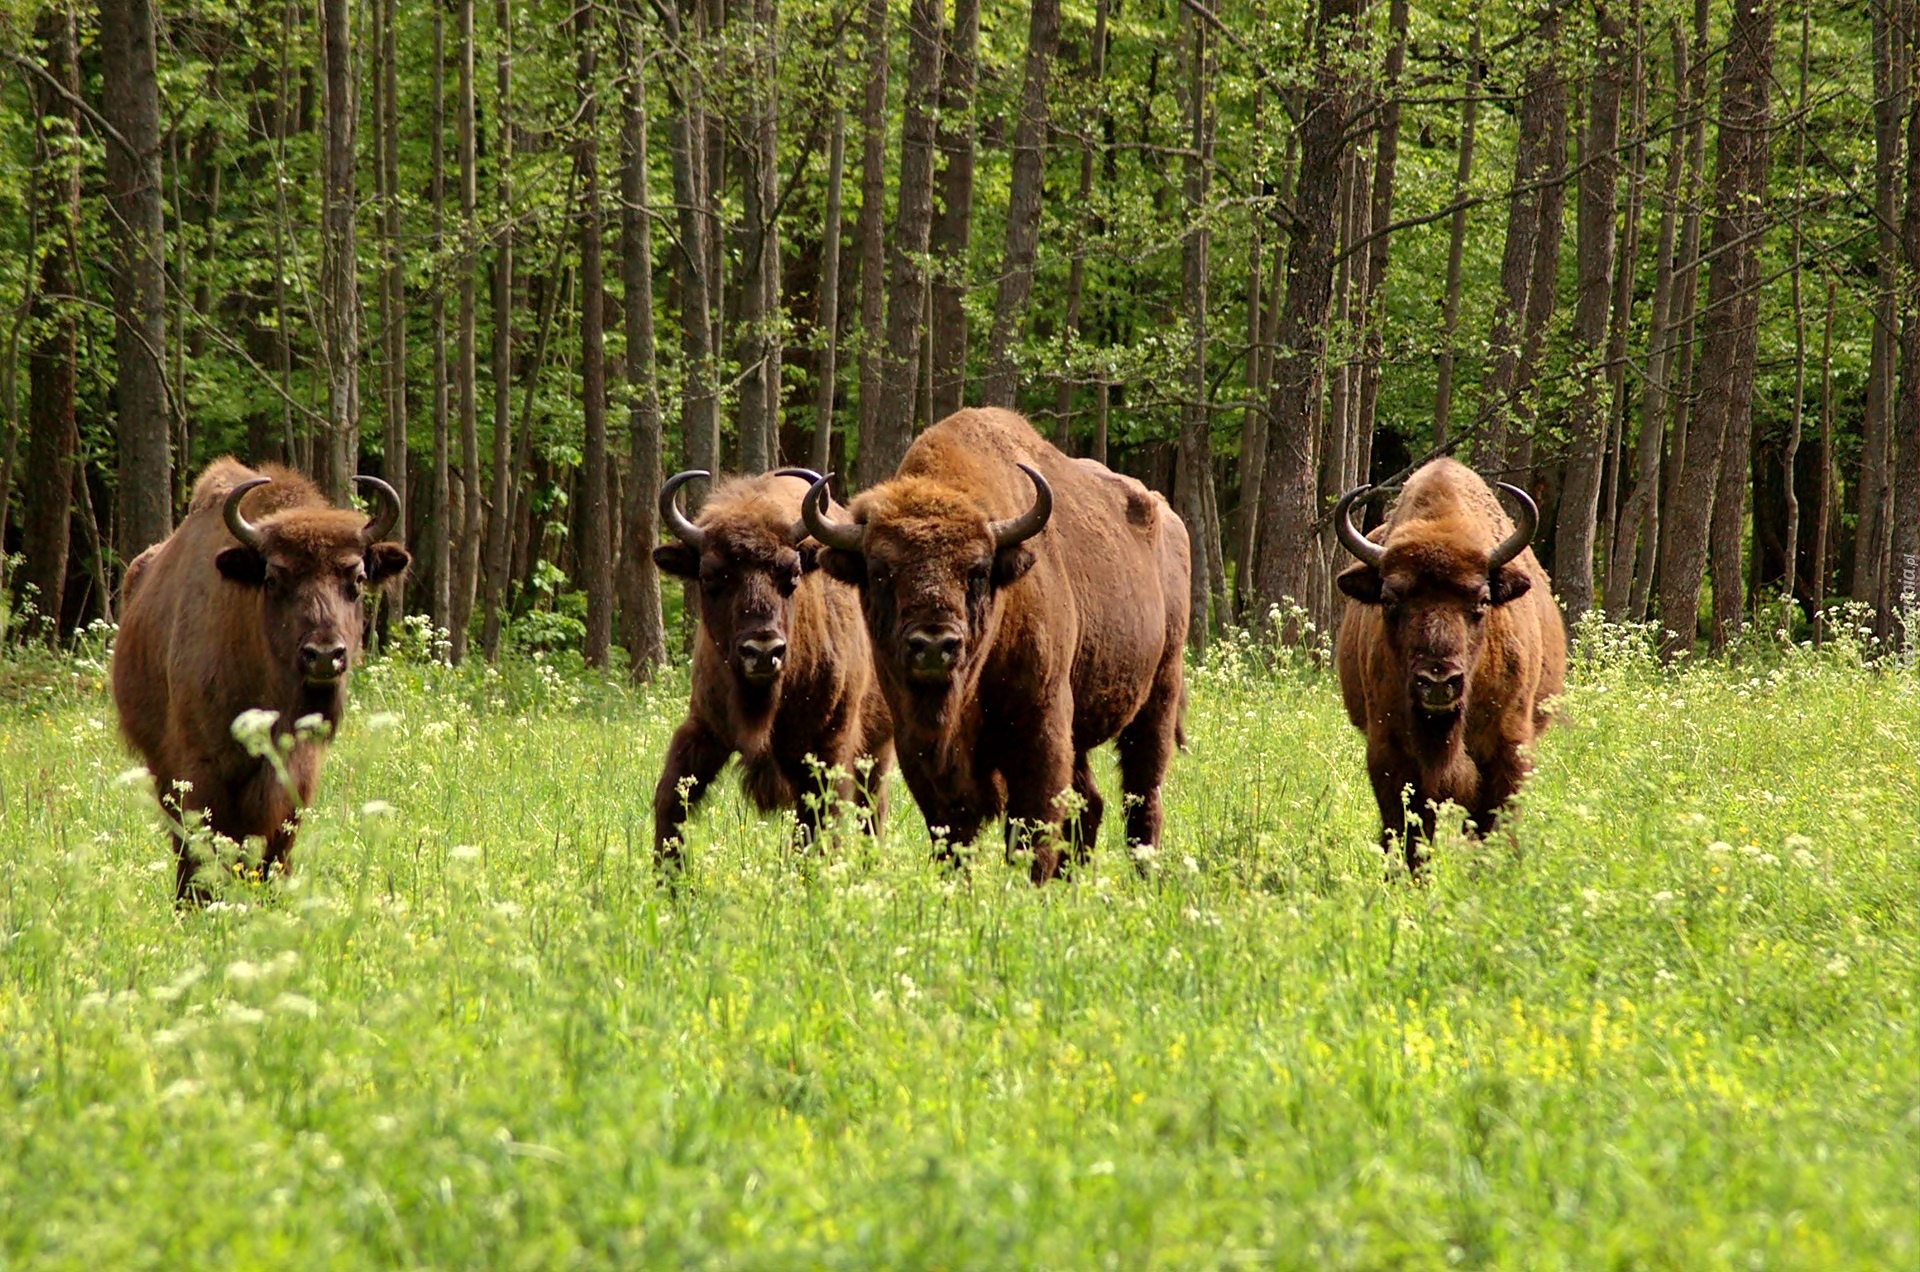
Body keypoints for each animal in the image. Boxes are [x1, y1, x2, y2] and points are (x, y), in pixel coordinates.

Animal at [652, 468, 890, 868]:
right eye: (710, 577)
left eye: (792, 574)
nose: (763, 651)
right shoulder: (704, 728)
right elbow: (671, 798)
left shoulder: (828, 747)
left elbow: (817, 824)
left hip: (878, 746)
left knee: (871, 809)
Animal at [798, 411, 1182, 887]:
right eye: (881, 571)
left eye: (978, 571)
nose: (934, 646)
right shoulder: (918, 746)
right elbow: (952, 832)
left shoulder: (1041, 728)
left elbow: (1032, 825)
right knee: (1091, 802)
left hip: (1159, 694)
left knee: (1142, 793)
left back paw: (1144, 877)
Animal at [1328, 455, 1566, 868]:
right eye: (1389, 600)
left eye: (1482, 600)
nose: (1438, 681)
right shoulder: (1389, 755)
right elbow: (1406, 835)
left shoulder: (1508, 750)